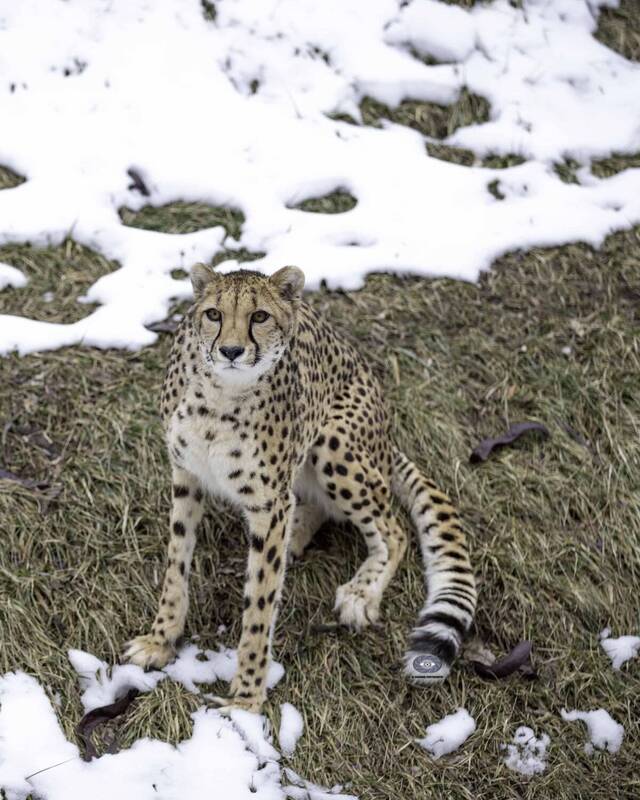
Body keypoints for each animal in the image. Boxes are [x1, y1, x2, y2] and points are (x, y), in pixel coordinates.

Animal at [124, 264, 477, 711]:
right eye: (213, 315)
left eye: (259, 316)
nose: (231, 351)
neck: (220, 397)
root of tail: (387, 434)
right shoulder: (187, 476)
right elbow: (176, 567)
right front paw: (161, 639)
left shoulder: (268, 502)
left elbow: (259, 608)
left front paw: (246, 699)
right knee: (316, 508)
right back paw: (294, 539)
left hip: (334, 442)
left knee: (393, 530)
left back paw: (360, 594)